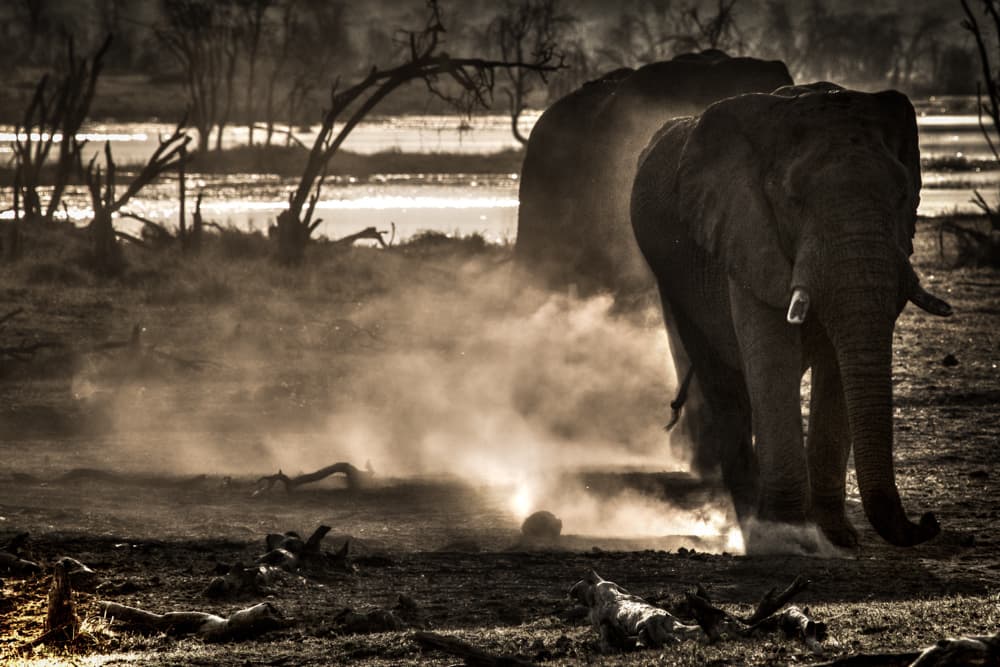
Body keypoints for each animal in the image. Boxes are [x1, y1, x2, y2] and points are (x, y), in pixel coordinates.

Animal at [629, 82, 953, 549]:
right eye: (794, 200)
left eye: (901, 196)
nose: (928, 522)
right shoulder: (746, 235)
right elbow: (772, 356)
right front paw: (789, 538)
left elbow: (839, 363)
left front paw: (837, 538)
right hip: (674, 282)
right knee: (724, 385)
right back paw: (752, 524)